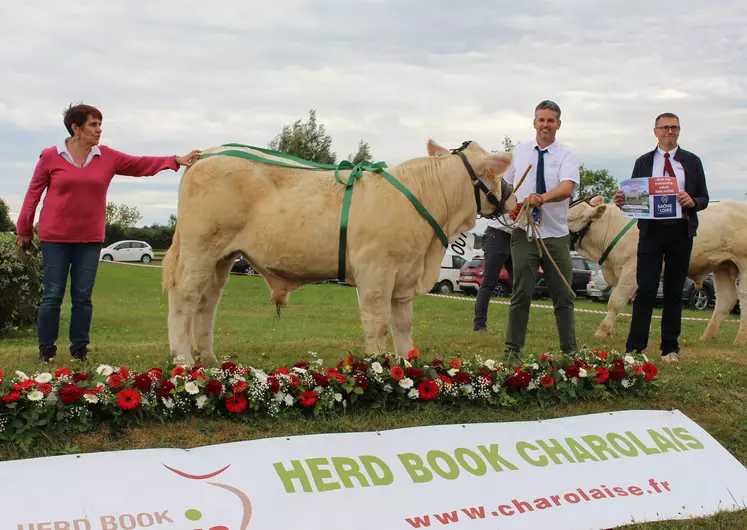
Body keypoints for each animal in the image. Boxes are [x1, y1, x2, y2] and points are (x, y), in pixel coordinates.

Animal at [568, 196, 744, 344]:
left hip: (743, 262)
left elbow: (615, 301)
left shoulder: (631, 270)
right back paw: (706, 337)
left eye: (569, 218)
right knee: (726, 299)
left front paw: (601, 332)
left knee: (743, 297)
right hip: (723, 267)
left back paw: (740, 341)